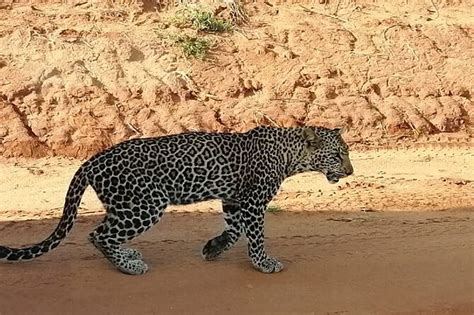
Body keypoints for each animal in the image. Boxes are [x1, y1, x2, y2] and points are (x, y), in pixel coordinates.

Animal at [0, 127, 352, 276]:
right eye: (338, 155)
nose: (350, 171)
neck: (290, 155)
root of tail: (92, 160)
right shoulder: (253, 201)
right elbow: (255, 236)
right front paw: (264, 263)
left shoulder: (233, 199)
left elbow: (234, 230)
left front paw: (213, 248)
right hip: (146, 204)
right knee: (97, 234)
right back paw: (129, 267)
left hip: (124, 205)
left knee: (105, 232)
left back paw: (127, 254)